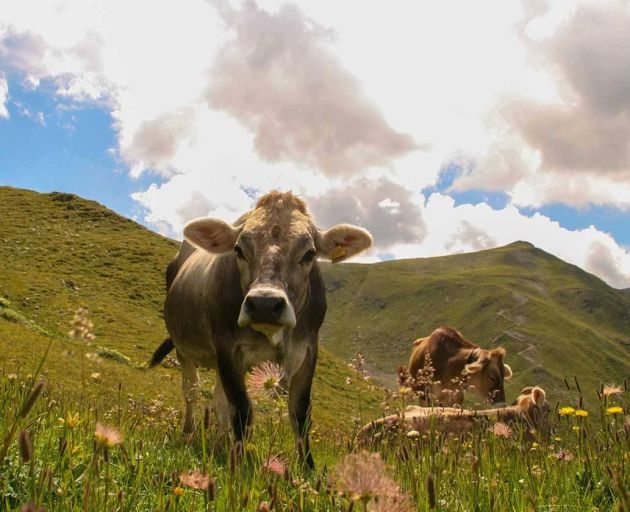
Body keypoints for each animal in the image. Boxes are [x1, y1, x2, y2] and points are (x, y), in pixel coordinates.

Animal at [150, 189, 372, 468]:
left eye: (309, 253)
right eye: (238, 250)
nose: (265, 304)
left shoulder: (308, 350)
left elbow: (300, 413)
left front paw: (307, 468)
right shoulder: (227, 349)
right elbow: (241, 411)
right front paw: (239, 466)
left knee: (218, 400)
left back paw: (220, 443)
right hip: (183, 347)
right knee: (191, 392)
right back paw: (189, 434)